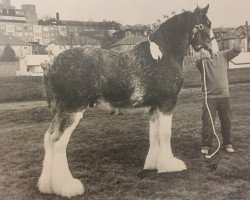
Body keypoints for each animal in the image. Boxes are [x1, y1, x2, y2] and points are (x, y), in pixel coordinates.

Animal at [38, 4, 211, 197]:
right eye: (205, 24)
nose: (212, 48)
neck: (164, 55)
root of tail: (53, 65)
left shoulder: (154, 107)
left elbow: (154, 134)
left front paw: (154, 164)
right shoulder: (167, 103)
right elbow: (166, 134)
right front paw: (170, 164)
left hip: (60, 112)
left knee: (49, 138)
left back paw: (47, 186)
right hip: (72, 111)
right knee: (58, 143)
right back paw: (68, 187)